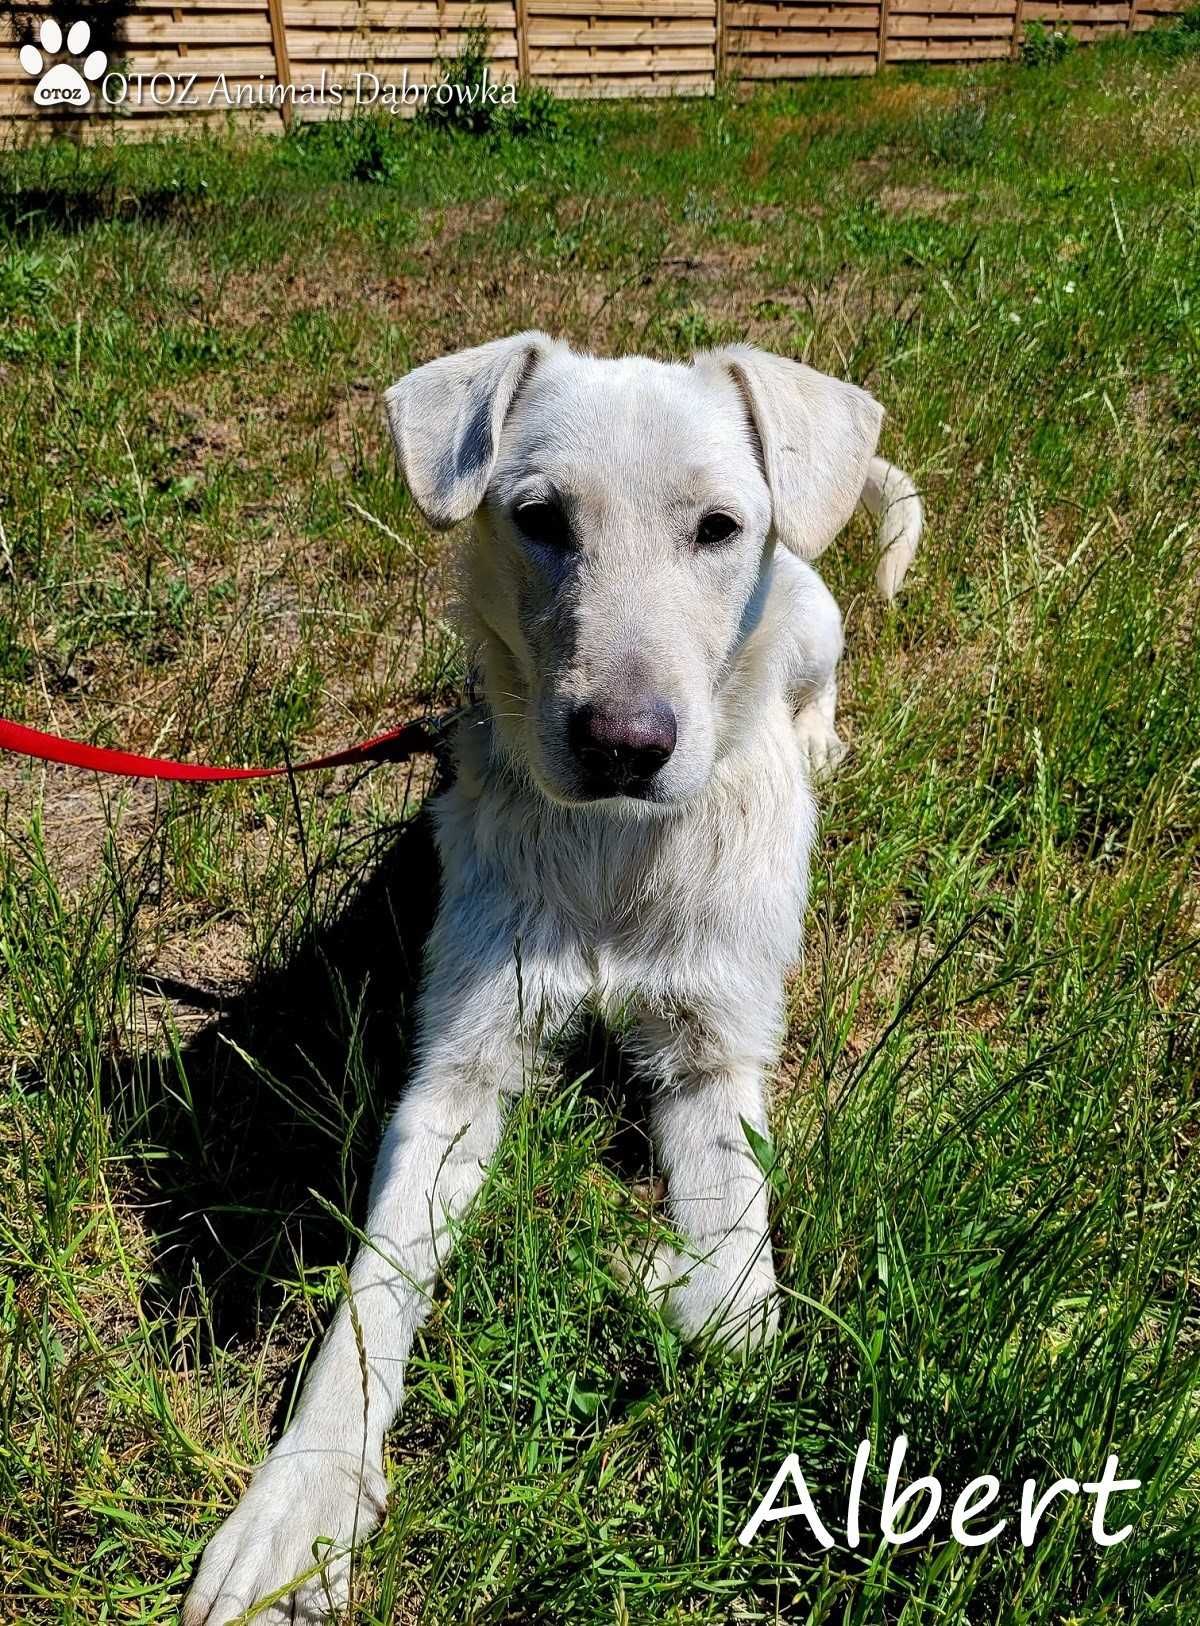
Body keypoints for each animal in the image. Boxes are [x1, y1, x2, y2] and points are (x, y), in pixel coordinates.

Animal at [182, 336, 923, 1619]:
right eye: (539, 519)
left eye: (719, 527)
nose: (625, 745)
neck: (616, 853)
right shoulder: (458, 1068)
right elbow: (371, 1293)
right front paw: (301, 1502)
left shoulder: (715, 1060)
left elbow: (740, 1306)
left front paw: (639, 1266)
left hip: (818, 620)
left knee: (817, 683)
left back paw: (818, 739)